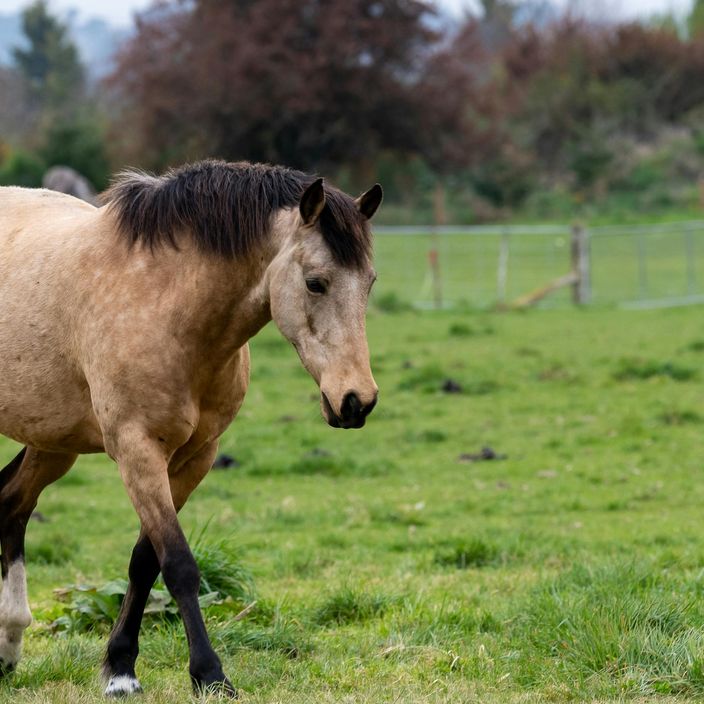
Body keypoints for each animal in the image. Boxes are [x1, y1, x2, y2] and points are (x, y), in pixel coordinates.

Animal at [0, 160, 382, 697]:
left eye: (369, 282)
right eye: (315, 283)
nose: (356, 401)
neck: (168, 304)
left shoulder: (195, 456)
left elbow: (146, 560)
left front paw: (121, 667)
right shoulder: (137, 451)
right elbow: (178, 563)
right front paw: (209, 674)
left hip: (52, 442)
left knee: (12, 505)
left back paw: (9, 646)